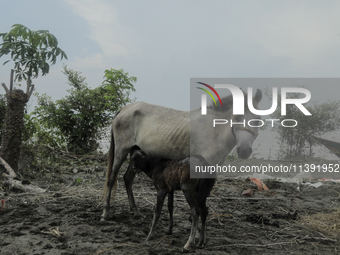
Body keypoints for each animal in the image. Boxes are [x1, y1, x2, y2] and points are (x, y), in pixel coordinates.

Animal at [102, 89, 262, 219]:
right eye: (237, 118)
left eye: (258, 120)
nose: (244, 150)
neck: (214, 131)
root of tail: (124, 109)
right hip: (121, 151)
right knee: (111, 178)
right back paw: (106, 213)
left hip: (135, 154)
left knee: (128, 179)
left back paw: (136, 212)